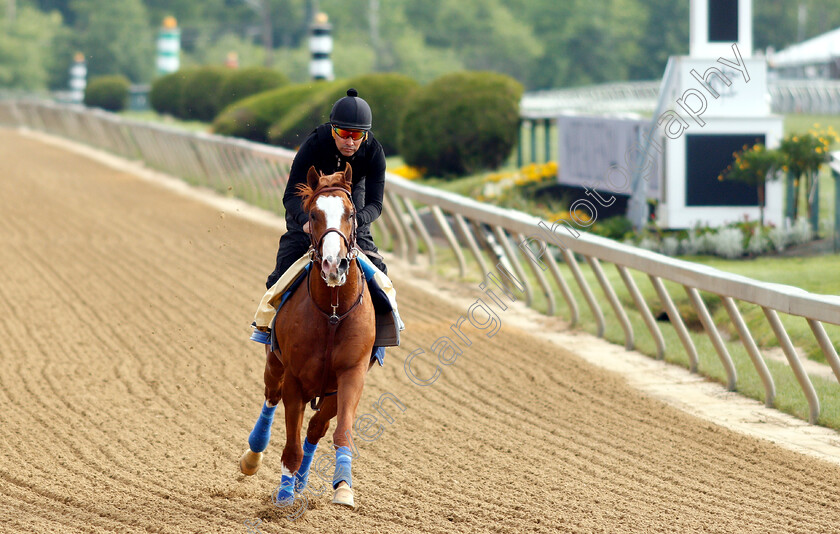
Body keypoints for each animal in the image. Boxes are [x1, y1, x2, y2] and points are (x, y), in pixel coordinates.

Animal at [240, 163, 378, 510]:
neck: (332, 313)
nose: (332, 264)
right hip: (274, 363)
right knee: (271, 397)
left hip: (328, 391)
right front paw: (284, 494)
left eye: (351, 213)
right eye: (314, 214)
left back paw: (303, 480)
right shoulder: (295, 378)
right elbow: (291, 444)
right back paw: (253, 457)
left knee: (317, 428)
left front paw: (343, 487)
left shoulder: (351, 374)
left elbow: (340, 432)